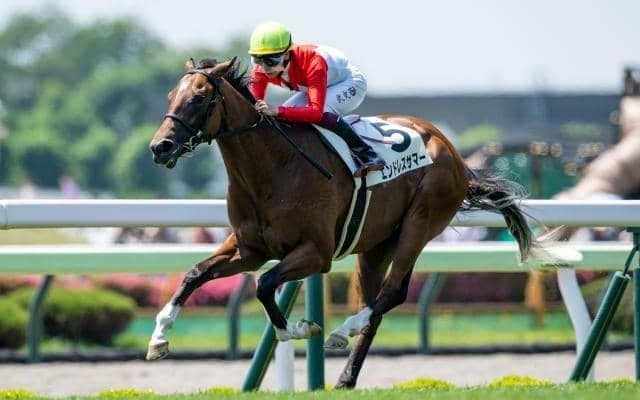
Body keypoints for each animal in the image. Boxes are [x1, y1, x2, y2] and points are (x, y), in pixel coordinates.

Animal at [147, 57, 536, 389]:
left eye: (198, 98)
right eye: (170, 96)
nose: (159, 147)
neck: (274, 168)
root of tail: (452, 151)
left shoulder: (317, 252)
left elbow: (264, 285)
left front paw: (300, 329)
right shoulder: (249, 249)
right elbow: (195, 274)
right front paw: (159, 338)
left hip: (419, 224)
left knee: (391, 293)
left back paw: (340, 333)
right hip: (377, 244)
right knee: (376, 304)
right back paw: (346, 377)